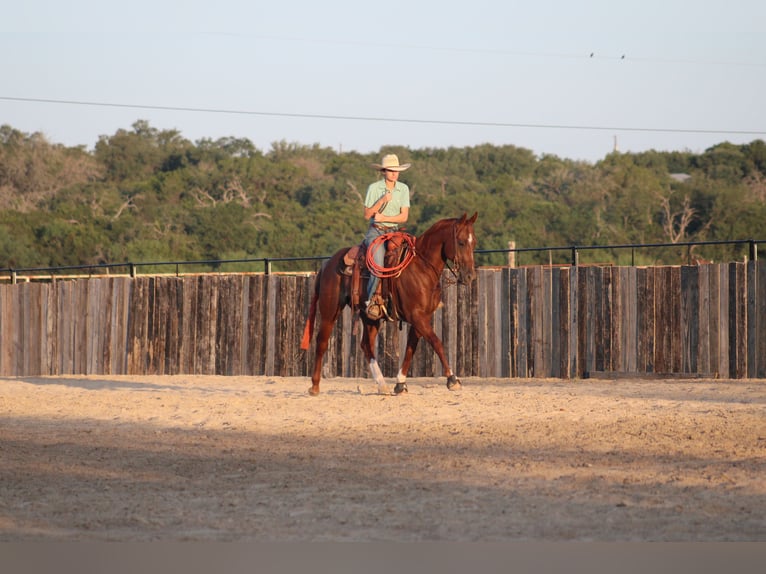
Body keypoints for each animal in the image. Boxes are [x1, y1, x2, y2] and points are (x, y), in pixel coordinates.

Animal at [300, 212, 478, 396]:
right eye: (461, 242)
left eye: (474, 242)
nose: (470, 276)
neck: (422, 268)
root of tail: (327, 264)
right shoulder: (417, 316)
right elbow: (436, 342)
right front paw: (452, 379)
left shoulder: (422, 318)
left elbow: (410, 348)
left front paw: (400, 384)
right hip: (330, 310)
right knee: (322, 341)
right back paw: (315, 386)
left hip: (370, 317)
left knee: (366, 345)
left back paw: (382, 385)